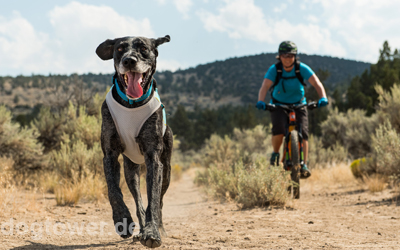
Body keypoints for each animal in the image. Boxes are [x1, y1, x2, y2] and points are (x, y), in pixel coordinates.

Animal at [97, 35, 173, 248]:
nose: (129, 61)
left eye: (144, 48)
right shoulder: (110, 154)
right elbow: (113, 190)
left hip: (166, 170)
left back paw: (159, 228)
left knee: (159, 200)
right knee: (138, 200)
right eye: (120, 48)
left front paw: (153, 232)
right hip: (131, 170)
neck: (132, 104)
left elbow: (153, 198)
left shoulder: (154, 158)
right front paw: (122, 220)